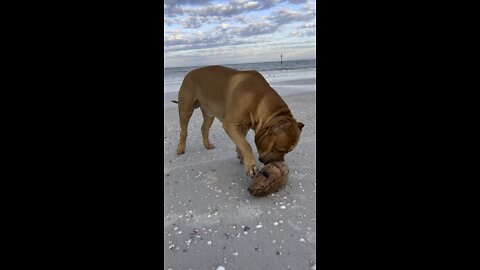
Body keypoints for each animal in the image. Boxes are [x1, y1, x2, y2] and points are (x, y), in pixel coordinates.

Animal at [175, 66, 304, 177]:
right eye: (281, 150)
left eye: (289, 151)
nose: (280, 163)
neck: (259, 99)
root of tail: (189, 73)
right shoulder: (230, 125)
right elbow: (246, 145)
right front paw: (250, 165)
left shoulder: (244, 126)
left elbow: (241, 143)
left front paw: (242, 157)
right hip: (185, 110)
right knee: (183, 131)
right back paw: (181, 148)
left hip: (209, 113)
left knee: (204, 128)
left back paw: (207, 144)